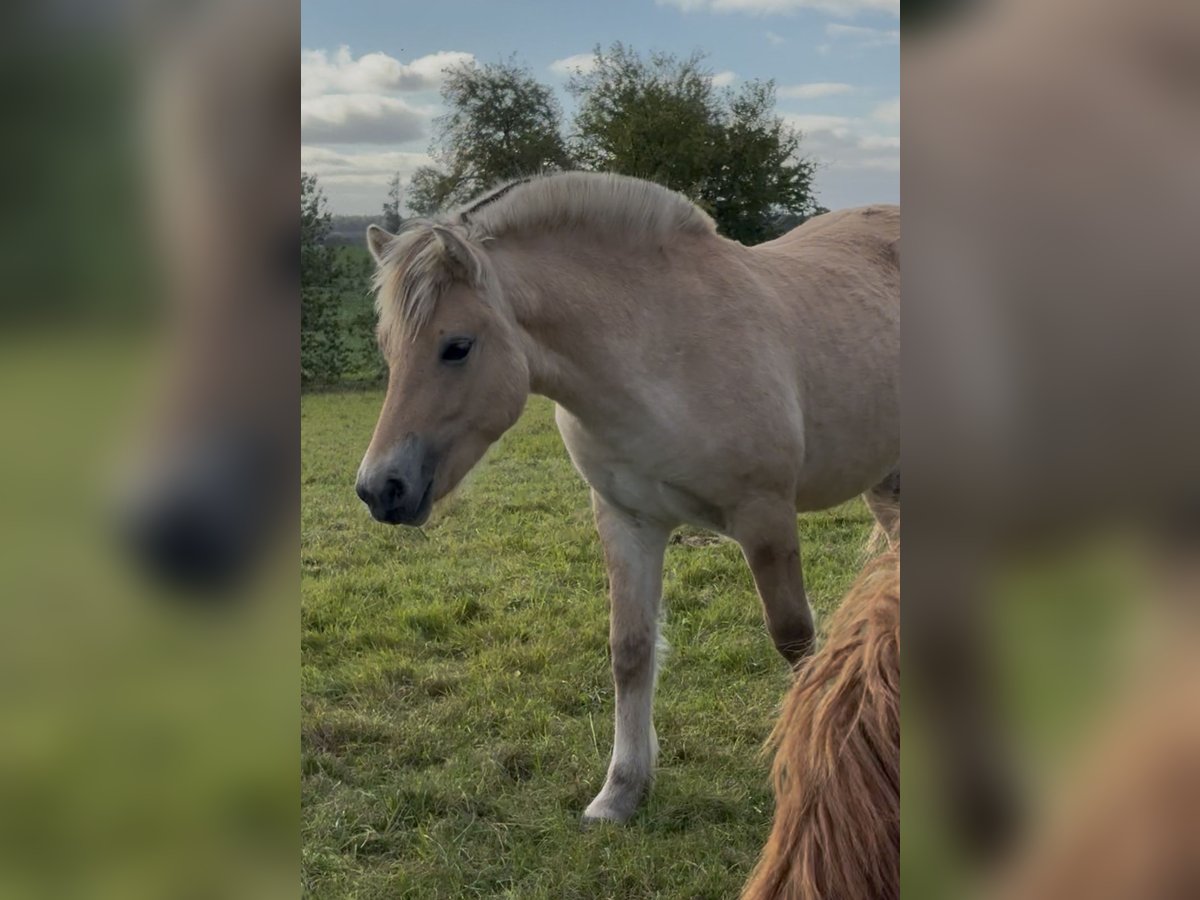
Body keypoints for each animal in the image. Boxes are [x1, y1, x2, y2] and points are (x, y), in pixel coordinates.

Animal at [356, 171, 900, 823]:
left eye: (457, 347)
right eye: (387, 348)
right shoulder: (627, 520)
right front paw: (620, 793)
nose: (379, 488)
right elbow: (630, 650)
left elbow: (795, 643)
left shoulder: (765, 517)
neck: (661, 347)